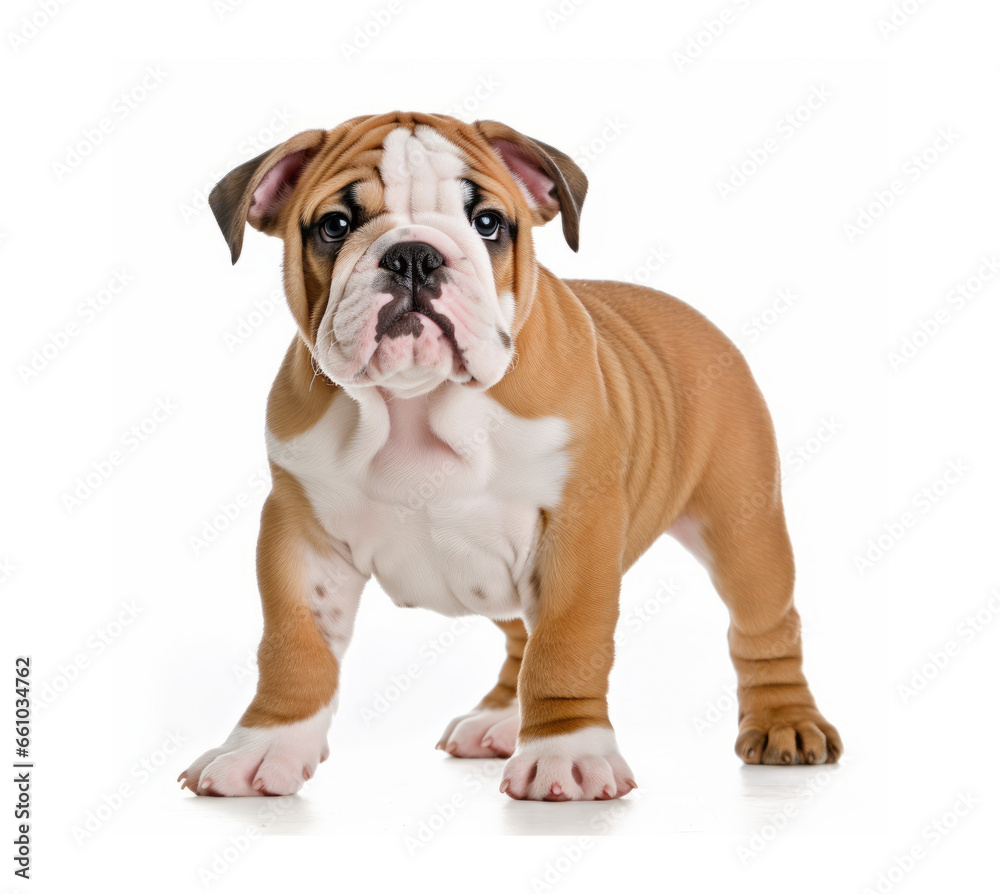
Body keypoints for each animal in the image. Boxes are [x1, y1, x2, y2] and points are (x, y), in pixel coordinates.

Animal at [176, 110, 840, 804]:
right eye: (334, 225)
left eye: (488, 222)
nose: (413, 255)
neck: (415, 405)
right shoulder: (299, 535)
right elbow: (293, 648)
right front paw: (263, 747)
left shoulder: (577, 529)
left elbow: (565, 646)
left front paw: (566, 753)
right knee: (520, 634)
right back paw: (499, 721)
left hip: (741, 527)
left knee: (764, 627)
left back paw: (786, 723)